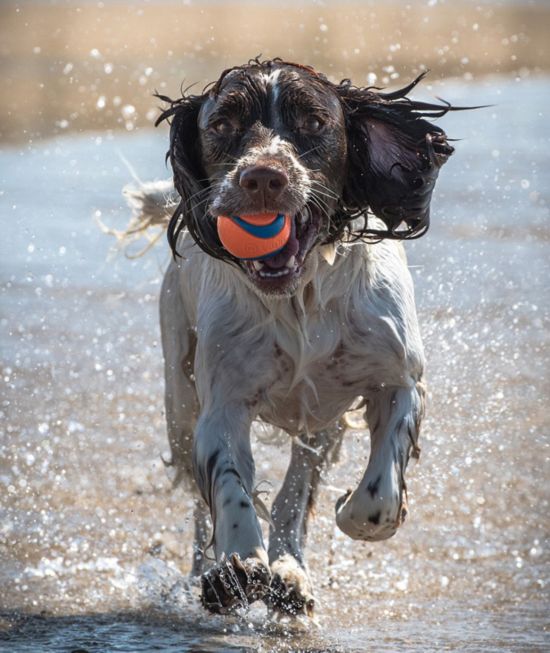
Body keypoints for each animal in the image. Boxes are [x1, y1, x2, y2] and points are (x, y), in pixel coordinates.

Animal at [127, 58, 460, 612]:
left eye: (314, 122)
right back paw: (209, 571)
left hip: (320, 423)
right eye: (222, 124)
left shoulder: (398, 380)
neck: (299, 299)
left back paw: (291, 572)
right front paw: (238, 566)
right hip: (180, 398)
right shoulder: (222, 404)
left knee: (296, 491)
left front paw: (349, 511)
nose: (263, 177)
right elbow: (229, 486)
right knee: (199, 501)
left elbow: (377, 495)